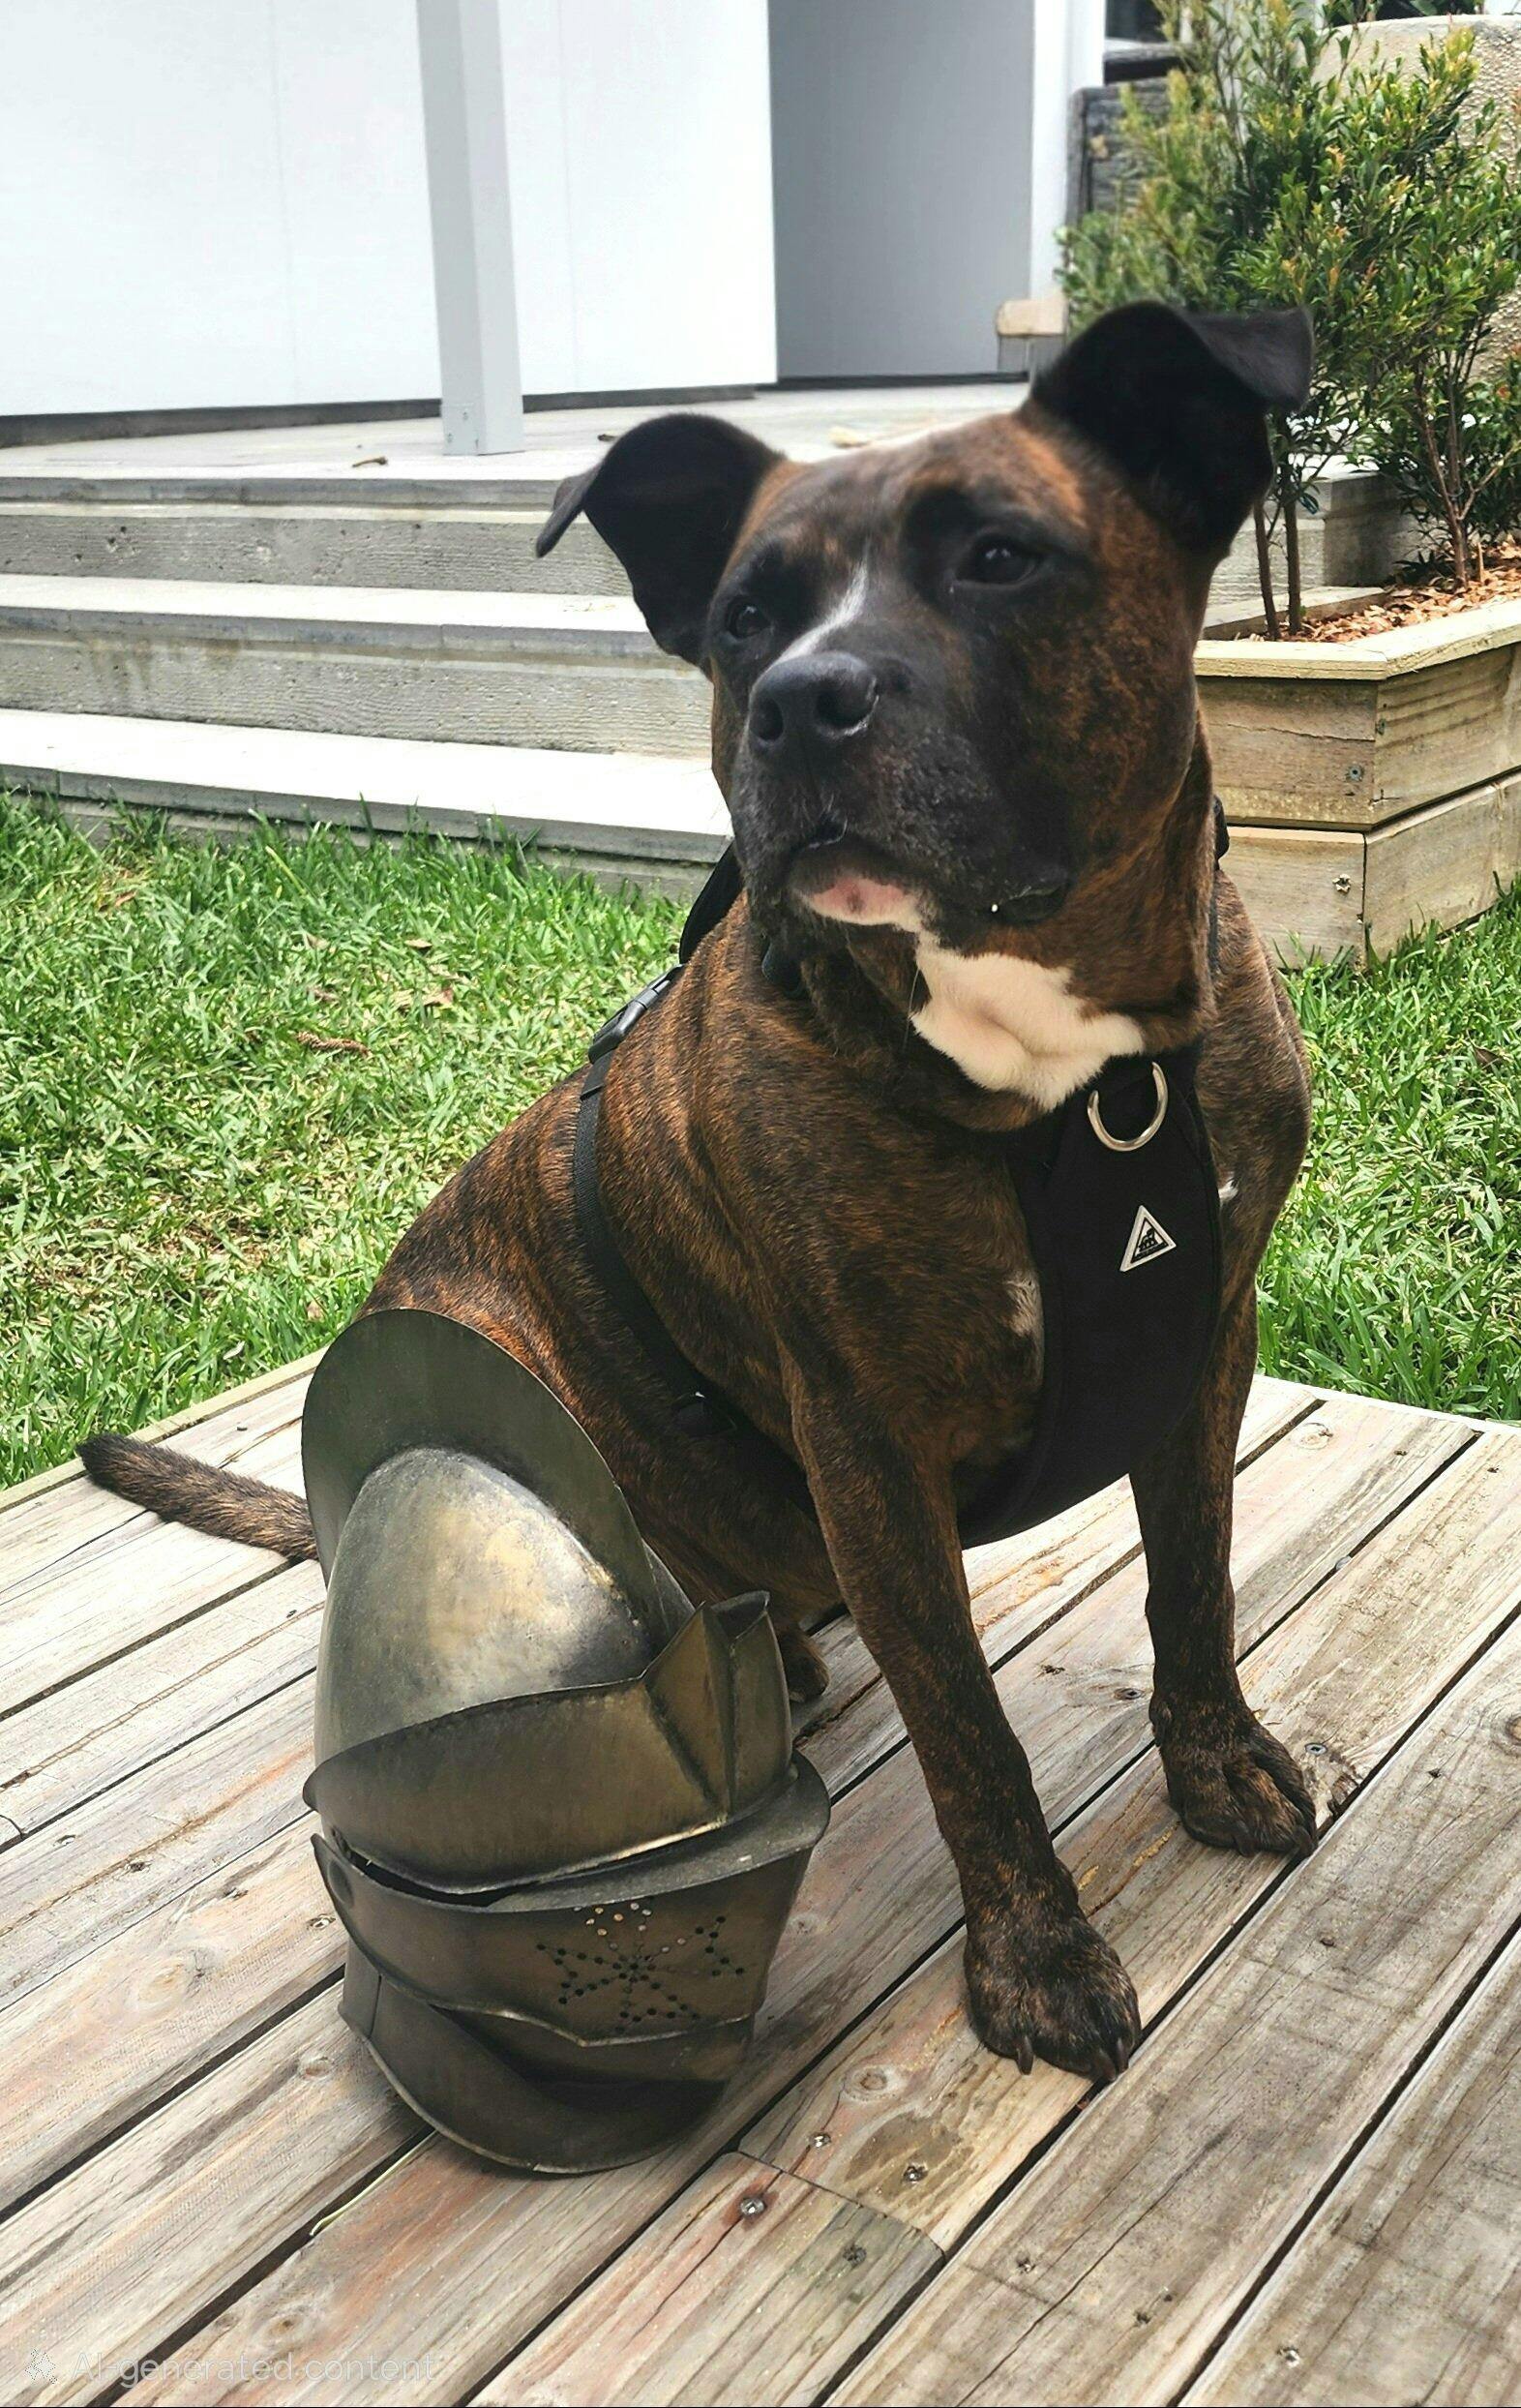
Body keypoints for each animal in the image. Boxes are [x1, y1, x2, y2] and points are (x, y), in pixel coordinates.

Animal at [83, 300, 1317, 2083]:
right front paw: (1033, 1953)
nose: (801, 701)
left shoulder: (1203, 1337)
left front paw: (1216, 1760)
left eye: (1000, 557)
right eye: (745, 617)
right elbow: (971, 1731)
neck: (1072, 1072)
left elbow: (1195, 1582)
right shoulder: (869, 1446)